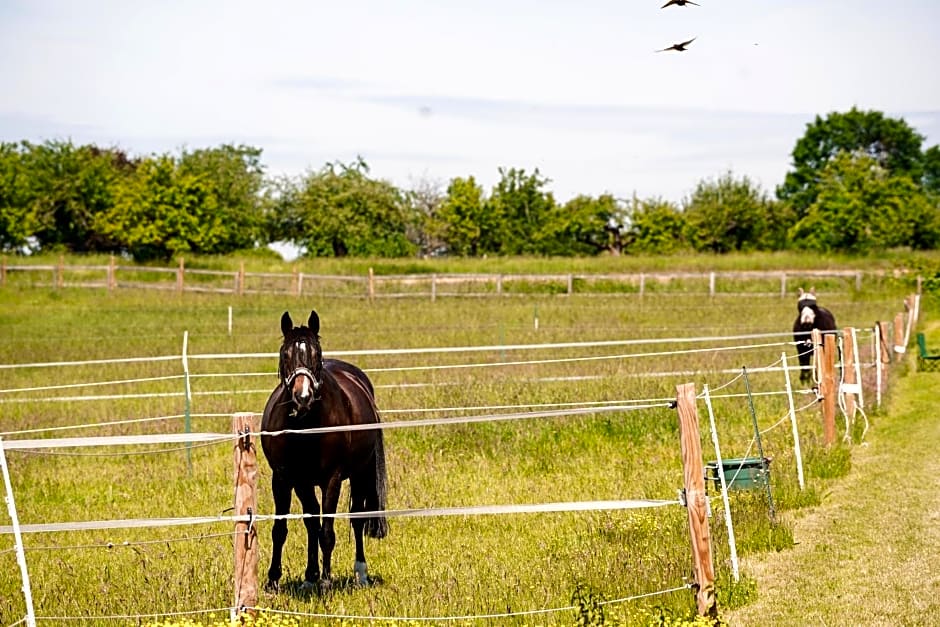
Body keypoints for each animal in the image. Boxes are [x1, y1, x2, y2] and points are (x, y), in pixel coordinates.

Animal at [258, 312, 388, 596]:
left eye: (317, 354)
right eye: (285, 354)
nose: (303, 396)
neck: (305, 426)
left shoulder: (332, 479)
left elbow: (327, 532)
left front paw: (326, 582)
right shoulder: (286, 479)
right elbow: (283, 528)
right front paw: (274, 580)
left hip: (361, 474)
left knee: (357, 519)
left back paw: (360, 573)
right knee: (312, 522)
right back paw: (310, 577)